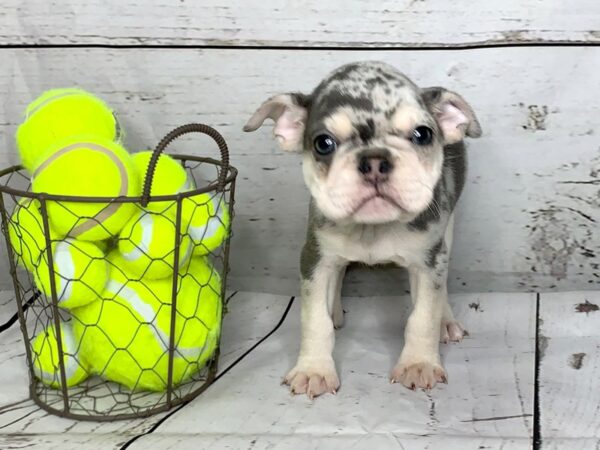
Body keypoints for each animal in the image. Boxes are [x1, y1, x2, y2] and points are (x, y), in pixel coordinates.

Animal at [244, 60, 482, 398]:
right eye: (323, 143)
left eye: (423, 134)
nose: (375, 160)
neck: (372, 228)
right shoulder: (314, 258)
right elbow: (314, 320)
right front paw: (314, 369)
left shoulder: (429, 261)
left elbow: (423, 316)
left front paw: (419, 364)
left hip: (447, 230)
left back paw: (445, 320)